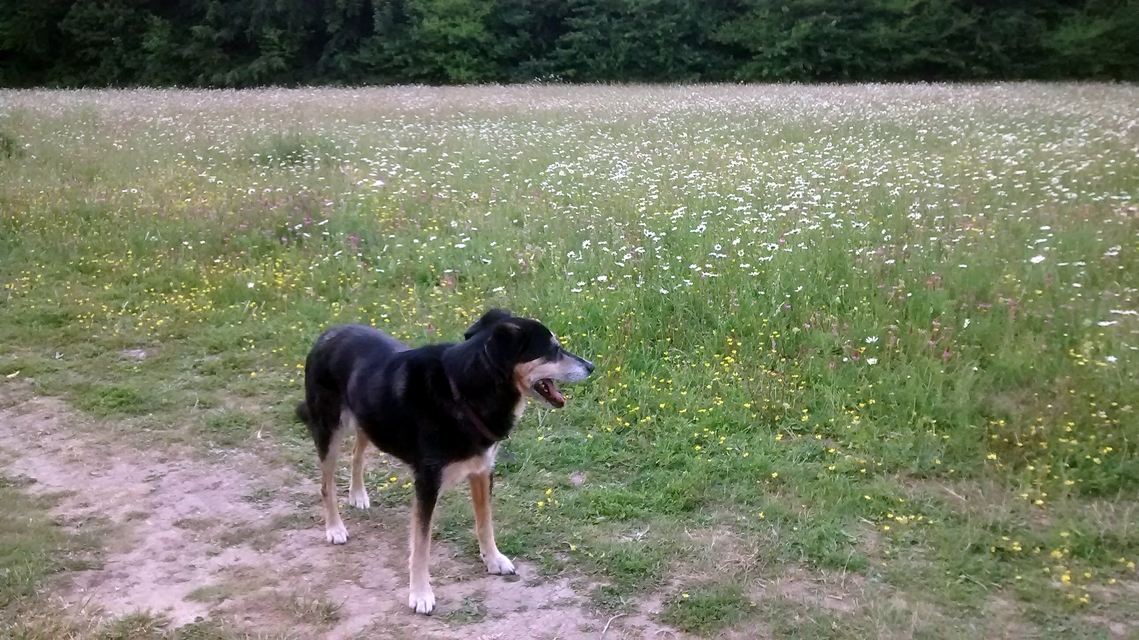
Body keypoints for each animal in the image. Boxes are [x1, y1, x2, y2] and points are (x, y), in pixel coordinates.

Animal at [293, 309, 596, 614]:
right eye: (553, 349)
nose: (592, 366)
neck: (464, 390)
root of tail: (328, 333)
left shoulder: (482, 470)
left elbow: (485, 523)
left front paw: (493, 559)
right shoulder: (427, 483)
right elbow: (421, 545)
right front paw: (420, 594)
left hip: (367, 418)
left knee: (357, 452)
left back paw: (358, 495)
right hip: (330, 429)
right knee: (326, 485)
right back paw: (335, 528)